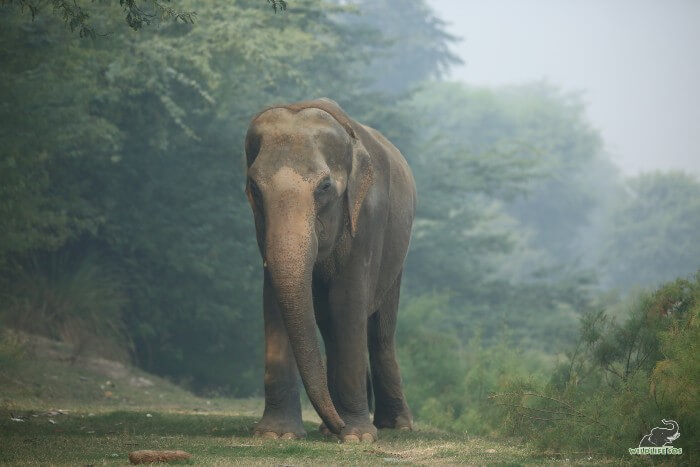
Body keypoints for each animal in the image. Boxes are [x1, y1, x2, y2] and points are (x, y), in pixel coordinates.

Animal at [243, 98, 416, 442]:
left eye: (324, 187)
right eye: (254, 188)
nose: (338, 426)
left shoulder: (367, 220)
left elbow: (347, 302)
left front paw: (357, 437)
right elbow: (277, 302)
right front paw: (276, 435)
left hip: (396, 261)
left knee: (379, 331)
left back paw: (396, 425)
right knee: (329, 325)